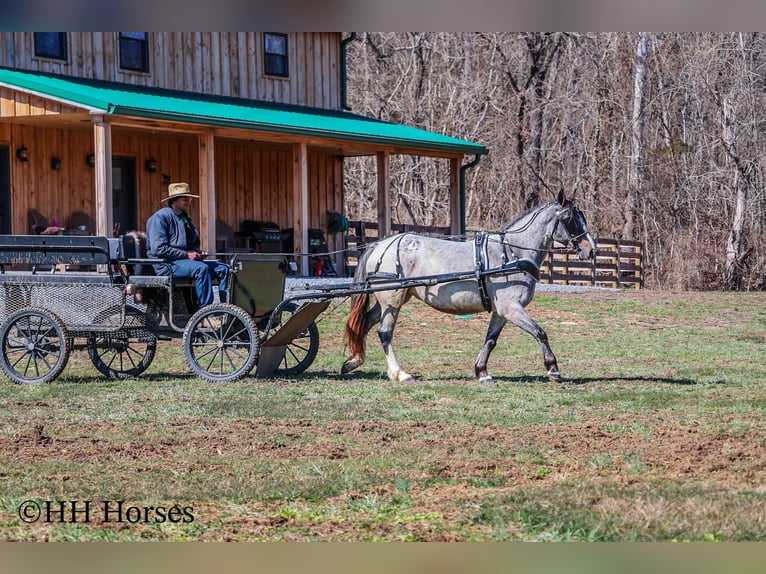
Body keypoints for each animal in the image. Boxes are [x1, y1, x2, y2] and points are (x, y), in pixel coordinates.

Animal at [341, 190, 597, 384]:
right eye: (570, 218)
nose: (591, 249)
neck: (512, 253)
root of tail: (380, 244)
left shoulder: (501, 312)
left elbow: (490, 340)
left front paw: (482, 372)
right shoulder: (512, 308)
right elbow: (540, 332)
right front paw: (553, 369)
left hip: (392, 299)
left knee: (365, 323)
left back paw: (353, 362)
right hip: (391, 300)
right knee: (385, 333)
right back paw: (400, 374)